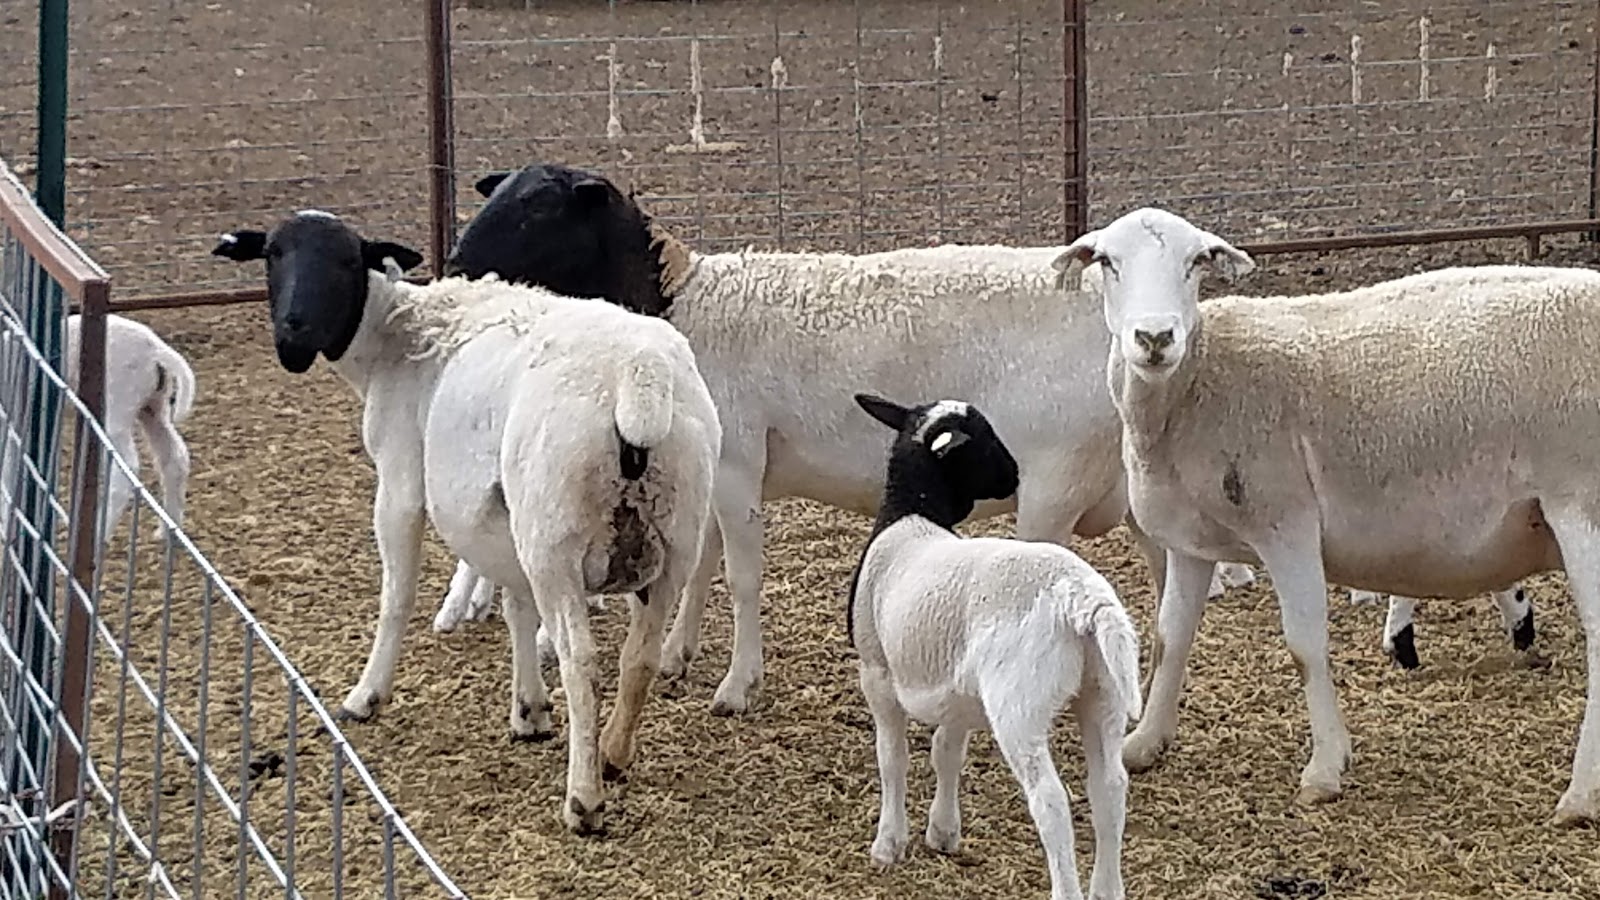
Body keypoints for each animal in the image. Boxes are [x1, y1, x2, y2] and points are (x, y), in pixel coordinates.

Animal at [64, 312, 196, 550]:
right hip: (154, 406)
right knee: (175, 457)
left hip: (118, 405)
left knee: (127, 466)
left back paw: (98, 535)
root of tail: (156, 349)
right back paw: (168, 531)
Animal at [211, 210, 722, 834]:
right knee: (639, 656)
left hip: (555, 537)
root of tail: (639, 378)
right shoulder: (503, 518)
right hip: (672, 535)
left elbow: (397, 595)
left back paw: (584, 799)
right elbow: (517, 607)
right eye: (273, 255)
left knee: (583, 664)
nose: (294, 336)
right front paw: (529, 710)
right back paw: (613, 755)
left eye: (347, 260)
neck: (396, 337)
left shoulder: (401, 481)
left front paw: (366, 696)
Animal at [433, 161, 1256, 714]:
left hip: (1052, 488)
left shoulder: (740, 459)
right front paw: (676, 655)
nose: (454, 265)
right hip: (1133, 495)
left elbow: (742, 576)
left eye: (539, 210)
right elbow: (700, 564)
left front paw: (737, 685)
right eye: (497, 197)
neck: (684, 302)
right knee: (1167, 616)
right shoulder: (712, 465)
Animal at [849, 392, 1140, 900]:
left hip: (1018, 705)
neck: (911, 513)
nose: (1013, 476)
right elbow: (946, 751)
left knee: (1051, 801)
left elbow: (892, 758)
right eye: (984, 442)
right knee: (1109, 789)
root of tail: (1082, 598)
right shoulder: (956, 694)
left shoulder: (877, 673)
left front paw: (889, 843)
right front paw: (943, 832)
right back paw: (1107, 888)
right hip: (1103, 692)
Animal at [1052, 204, 1600, 826]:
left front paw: (1325, 769)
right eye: (1106, 261)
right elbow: (1172, 637)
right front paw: (1144, 743)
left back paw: (1580, 796)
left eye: (1196, 262)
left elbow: (1304, 645)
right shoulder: (1191, 542)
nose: (1154, 338)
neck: (1197, 382)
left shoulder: (1286, 523)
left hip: (1579, 501)